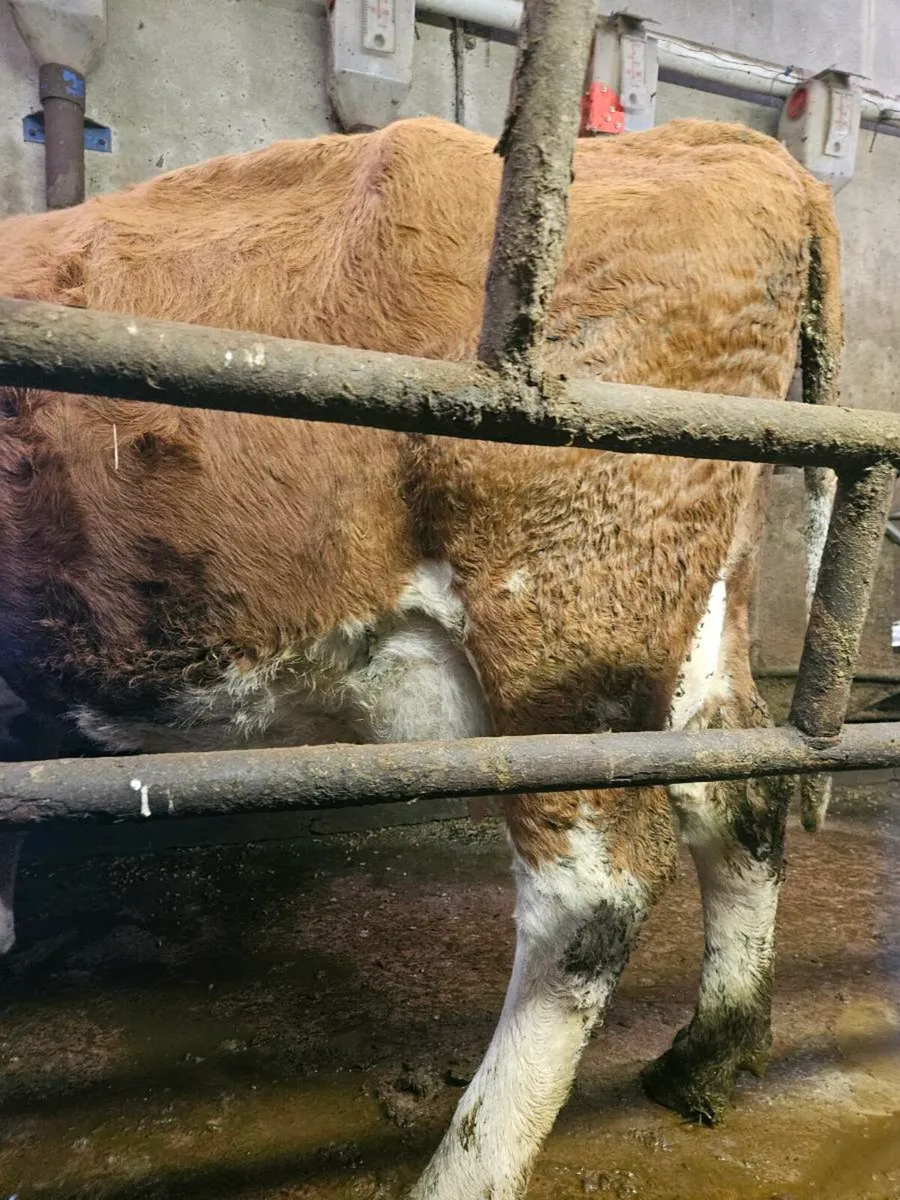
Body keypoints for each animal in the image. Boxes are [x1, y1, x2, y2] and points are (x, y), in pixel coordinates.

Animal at [0, 116, 841, 1198]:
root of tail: (724, 142)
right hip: (695, 618)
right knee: (735, 793)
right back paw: (711, 1052)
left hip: (560, 633)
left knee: (594, 890)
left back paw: (465, 1170)